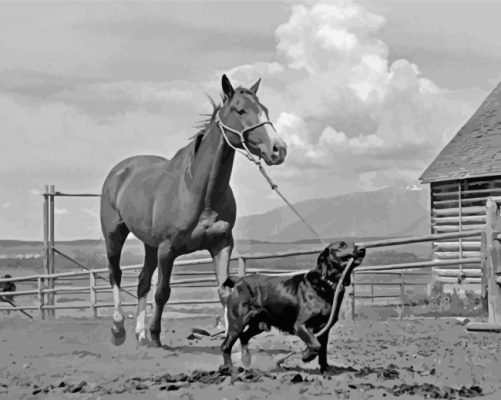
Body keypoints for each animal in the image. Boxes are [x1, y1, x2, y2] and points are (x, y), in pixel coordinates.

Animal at [100, 75, 288, 346]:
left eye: (265, 110)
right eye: (240, 110)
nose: (278, 149)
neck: (198, 191)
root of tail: (120, 171)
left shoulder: (221, 244)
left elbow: (223, 292)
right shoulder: (167, 250)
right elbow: (163, 292)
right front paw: (156, 335)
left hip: (149, 245)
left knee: (142, 281)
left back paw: (140, 333)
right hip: (114, 234)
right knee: (115, 273)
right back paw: (119, 328)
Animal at [219, 241, 364, 376]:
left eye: (353, 243)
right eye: (342, 245)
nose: (362, 249)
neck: (326, 284)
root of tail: (239, 280)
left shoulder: (324, 330)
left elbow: (322, 351)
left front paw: (326, 371)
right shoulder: (300, 325)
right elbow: (316, 344)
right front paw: (306, 355)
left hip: (259, 325)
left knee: (244, 337)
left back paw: (246, 359)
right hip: (237, 323)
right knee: (226, 346)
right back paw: (229, 369)